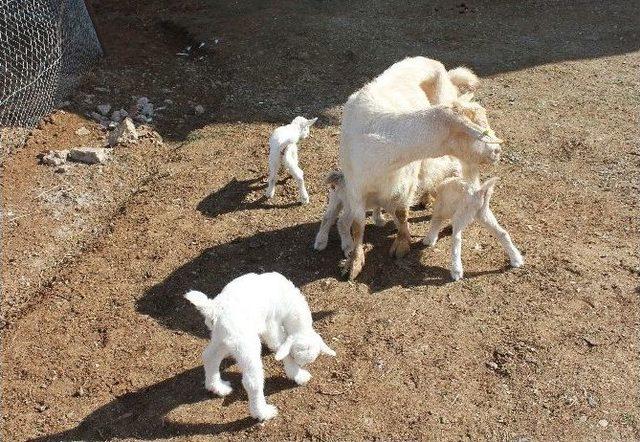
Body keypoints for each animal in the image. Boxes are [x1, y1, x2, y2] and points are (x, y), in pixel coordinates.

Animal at [184, 272, 336, 420]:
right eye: (295, 356)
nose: (301, 365)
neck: (290, 302)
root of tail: (213, 309)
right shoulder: (272, 325)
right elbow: (279, 346)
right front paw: (296, 374)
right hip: (246, 344)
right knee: (251, 382)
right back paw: (262, 413)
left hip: (222, 338)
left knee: (209, 357)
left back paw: (217, 387)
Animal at [338, 57, 502, 278]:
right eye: (477, 132)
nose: (498, 151)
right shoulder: (355, 188)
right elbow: (357, 226)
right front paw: (354, 262)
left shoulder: (405, 181)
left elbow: (401, 213)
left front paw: (402, 244)